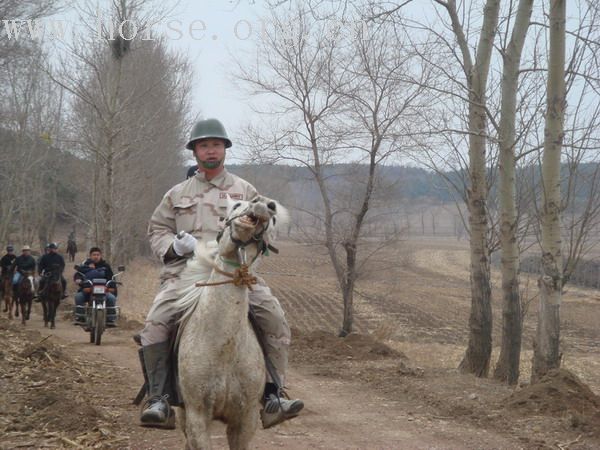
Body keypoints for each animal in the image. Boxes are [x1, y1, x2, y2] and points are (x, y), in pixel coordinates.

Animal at [176, 196, 286, 450]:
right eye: (236, 206)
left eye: (273, 217)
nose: (264, 204)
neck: (224, 348)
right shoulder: (198, 416)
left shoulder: (245, 419)